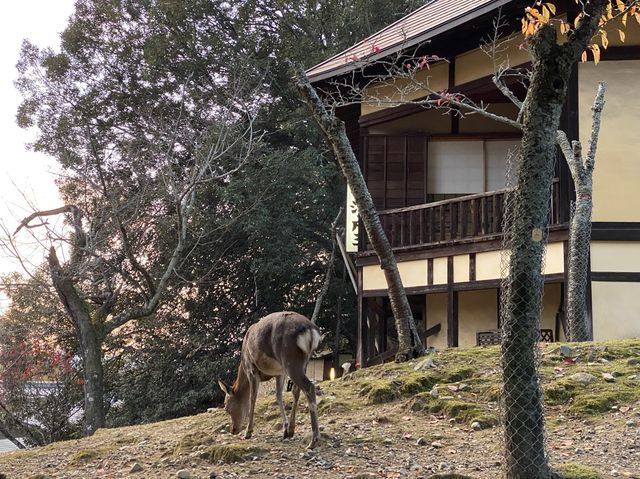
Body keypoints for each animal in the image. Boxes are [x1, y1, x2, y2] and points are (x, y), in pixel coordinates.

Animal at [219, 312, 320, 450]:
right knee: (296, 390)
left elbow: (252, 398)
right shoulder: (279, 373)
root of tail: (310, 331)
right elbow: (278, 396)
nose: (233, 430)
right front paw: (286, 430)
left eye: (226, 407)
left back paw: (313, 441)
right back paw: (293, 430)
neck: (242, 366)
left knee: (309, 387)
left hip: (290, 360)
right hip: (303, 362)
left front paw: (248, 432)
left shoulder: (252, 369)